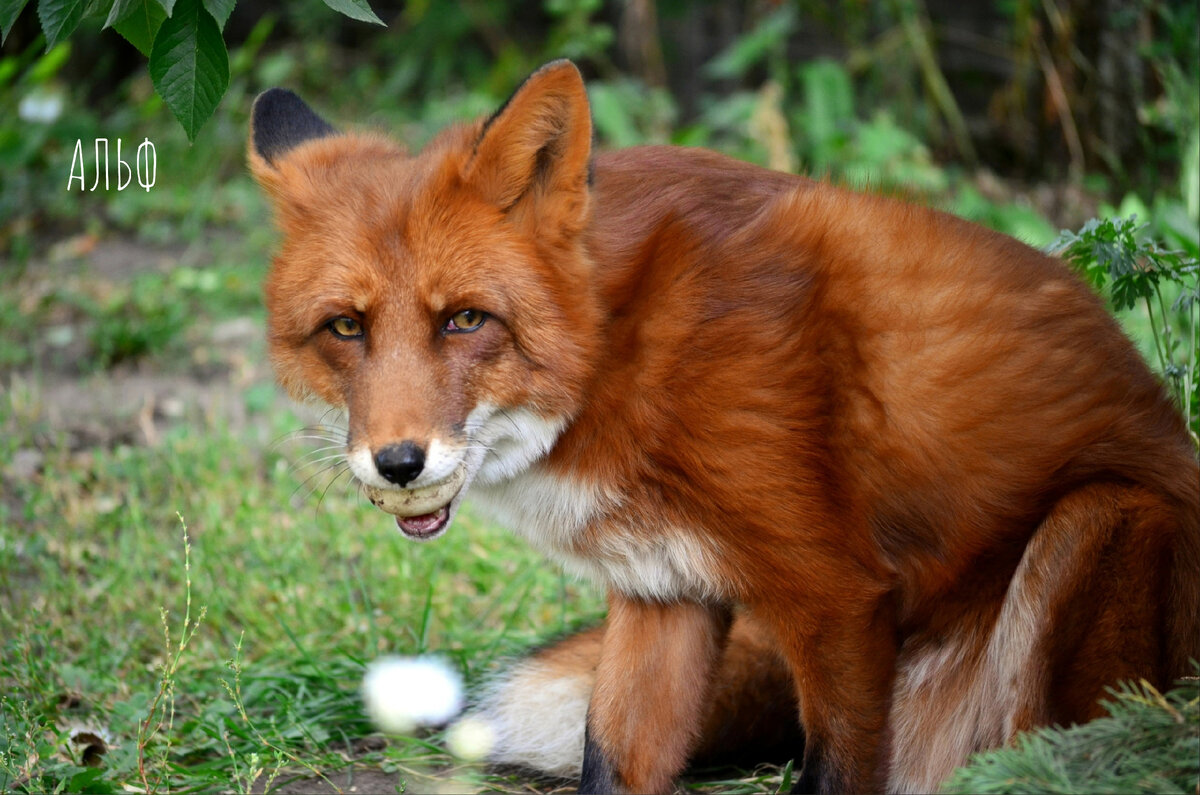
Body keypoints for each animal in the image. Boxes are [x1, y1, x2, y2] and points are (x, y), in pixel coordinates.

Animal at [246, 59, 1200, 792]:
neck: (631, 344)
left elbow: (835, 770)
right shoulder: (662, 590)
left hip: (1091, 525)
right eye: (345, 327)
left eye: (465, 320)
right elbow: (611, 760)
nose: (398, 462)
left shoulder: (839, 598)